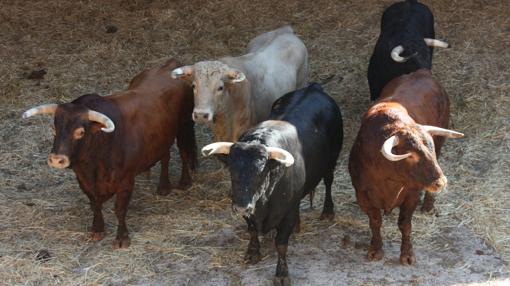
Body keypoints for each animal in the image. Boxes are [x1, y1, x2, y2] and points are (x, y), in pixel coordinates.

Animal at [22, 58, 196, 248]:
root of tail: (171, 63)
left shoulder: (126, 181)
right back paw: (164, 186)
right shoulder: (84, 181)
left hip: (185, 125)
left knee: (184, 152)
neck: (94, 164)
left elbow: (119, 209)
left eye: (80, 132)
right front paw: (97, 229)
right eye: (54, 129)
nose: (56, 160)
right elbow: (95, 205)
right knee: (165, 155)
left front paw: (122, 238)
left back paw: (184, 182)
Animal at [348, 69, 464, 266]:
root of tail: (422, 72)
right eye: (411, 156)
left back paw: (428, 206)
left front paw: (407, 254)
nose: (440, 182)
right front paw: (375, 250)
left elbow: (405, 224)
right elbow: (375, 221)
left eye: (431, 148)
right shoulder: (362, 193)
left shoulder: (411, 193)